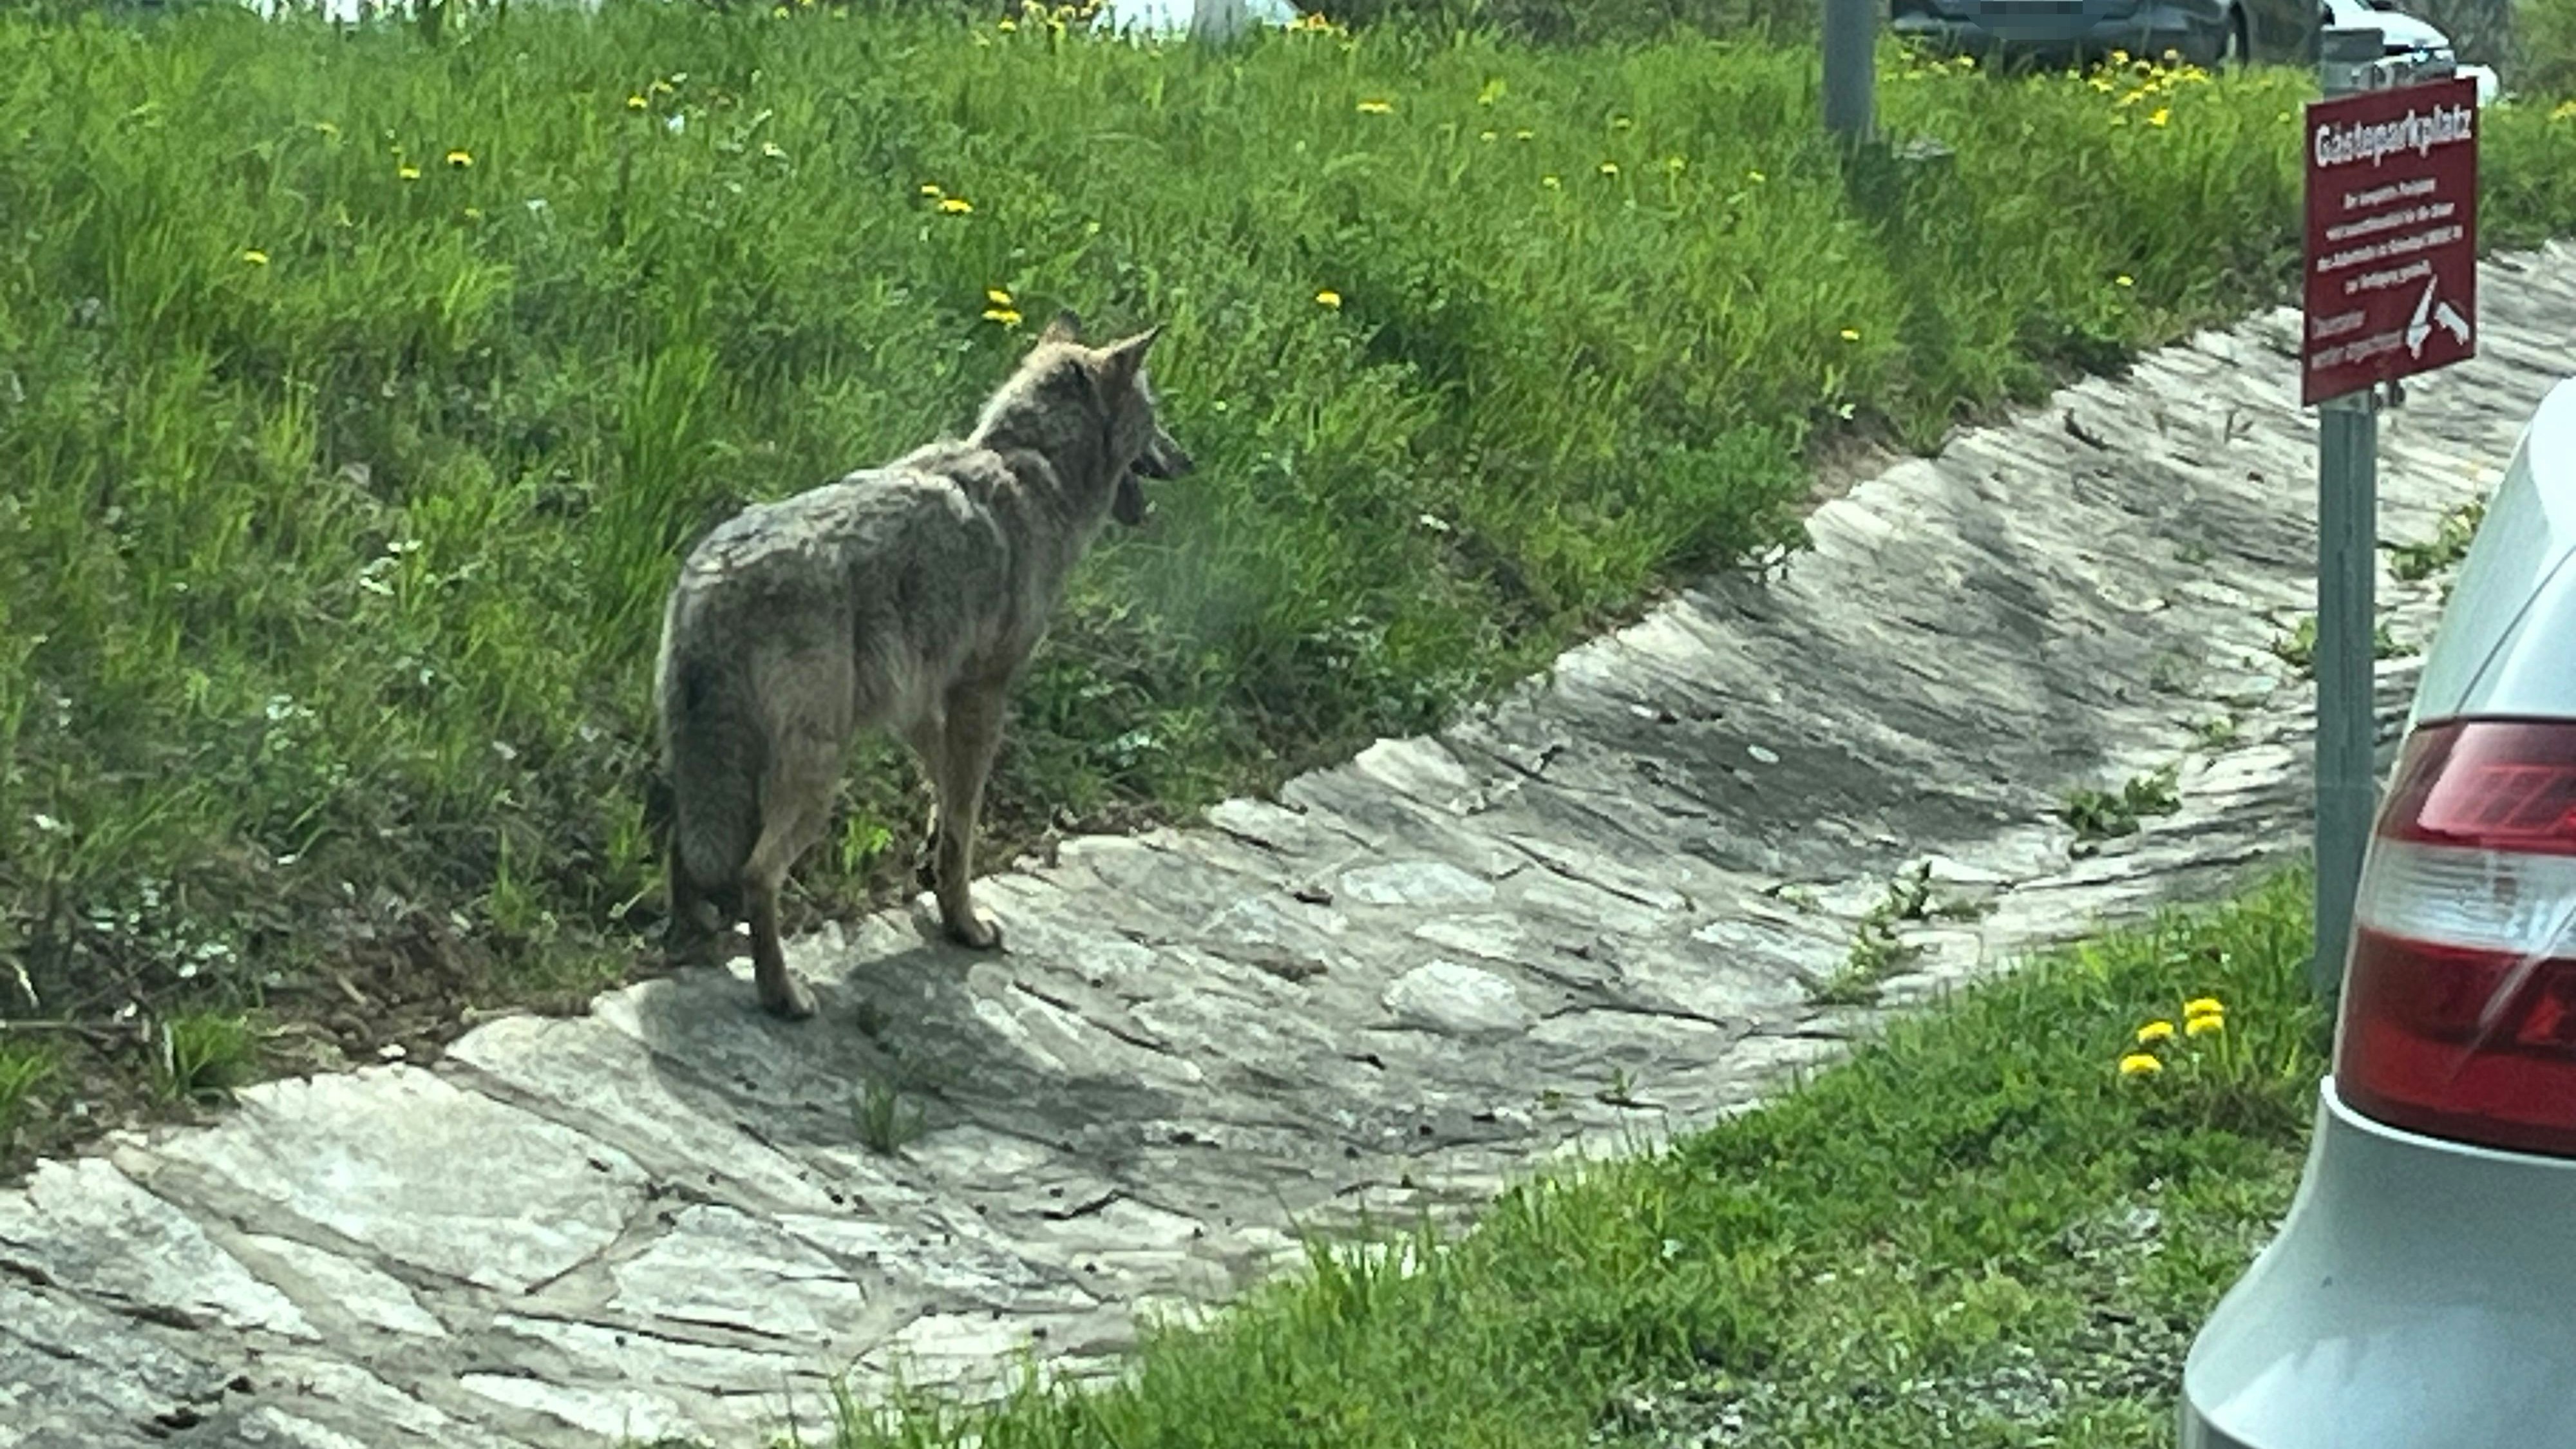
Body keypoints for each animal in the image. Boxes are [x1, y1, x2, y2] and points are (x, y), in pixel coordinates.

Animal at [653, 312, 1192, 1019]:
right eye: (1155, 418)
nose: (1190, 460)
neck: (1028, 466)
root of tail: (712, 578)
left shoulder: (918, 701)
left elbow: (946, 793)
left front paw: (928, 861)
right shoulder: (982, 697)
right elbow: (966, 822)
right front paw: (963, 922)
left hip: (713, 772)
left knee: (682, 846)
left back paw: (692, 937)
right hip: (817, 775)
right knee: (757, 874)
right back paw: (783, 995)